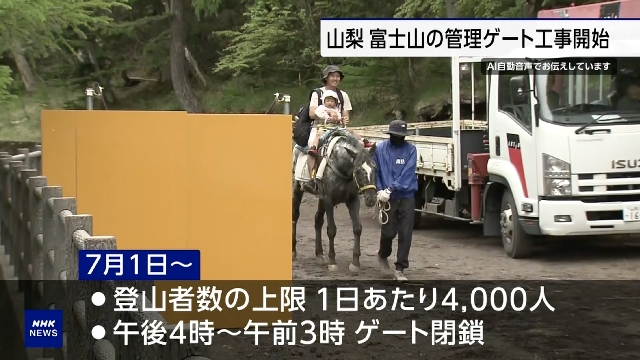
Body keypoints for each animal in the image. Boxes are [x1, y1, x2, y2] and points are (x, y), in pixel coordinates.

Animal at [294, 135, 378, 272]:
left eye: (375, 168)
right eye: (357, 170)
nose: (371, 199)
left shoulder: (353, 200)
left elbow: (357, 228)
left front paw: (355, 262)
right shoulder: (328, 200)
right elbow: (331, 230)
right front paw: (332, 261)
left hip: (321, 199)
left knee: (318, 220)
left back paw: (319, 254)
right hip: (297, 189)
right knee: (295, 216)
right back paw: (293, 252)